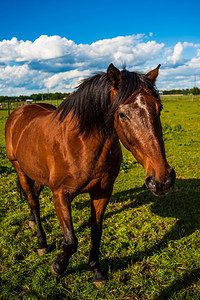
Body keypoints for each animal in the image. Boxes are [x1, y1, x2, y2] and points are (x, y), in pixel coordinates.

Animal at [4, 63, 175, 284]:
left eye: (159, 108)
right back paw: (42, 243)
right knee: (33, 201)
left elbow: (96, 231)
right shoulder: (60, 195)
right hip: (20, 169)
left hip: (37, 172)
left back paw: (33, 222)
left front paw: (96, 270)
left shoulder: (102, 192)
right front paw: (57, 267)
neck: (81, 144)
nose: (162, 180)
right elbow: (70, 241)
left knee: (34, 194)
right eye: (122, 114)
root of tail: (19, 111)